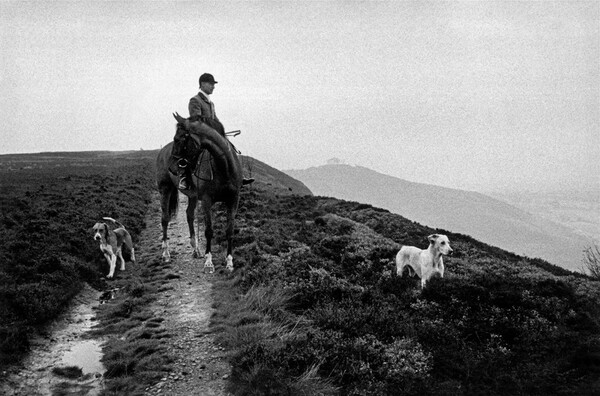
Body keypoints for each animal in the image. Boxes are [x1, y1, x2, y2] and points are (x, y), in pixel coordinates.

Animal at [158, 111, 245, 272]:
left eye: (178, 139)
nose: (172, 168)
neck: (223, 166)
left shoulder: (233, 199)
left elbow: (230, 230)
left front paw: (229, 262)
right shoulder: (206, 200)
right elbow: (209, 230)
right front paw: (209, 262)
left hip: (192, 196)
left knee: (189, 215)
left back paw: (195, 250)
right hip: (165, 190)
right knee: (165, 219)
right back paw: (166, 253)